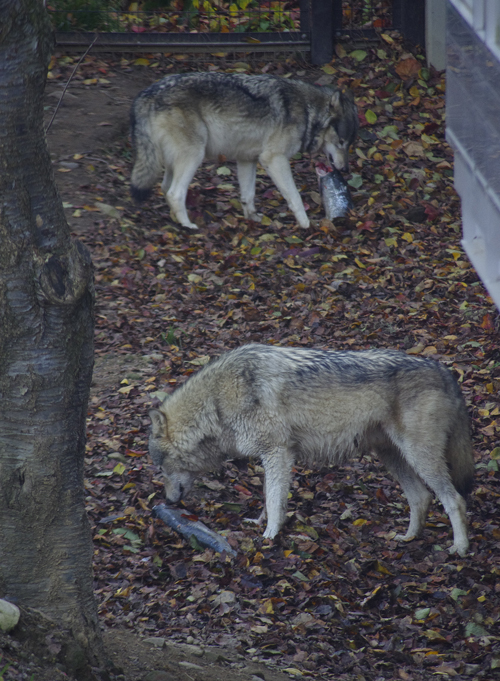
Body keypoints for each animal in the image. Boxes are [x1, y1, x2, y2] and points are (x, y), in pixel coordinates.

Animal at [129, 73, 356, 230]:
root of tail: (146, 95)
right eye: (341, 142)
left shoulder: (247, 159)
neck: (308, 112)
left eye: (349, 144)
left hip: (172, 161)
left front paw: (253, 218)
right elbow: (295, 197)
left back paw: (175, 219)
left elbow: (248, 195)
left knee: (165, 188)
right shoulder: (273, 159)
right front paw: (306, 224)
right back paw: (188, 226)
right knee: (175, 193)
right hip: (193, 156)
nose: (345, 170)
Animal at [147, 342, 472, 556]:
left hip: (419, 456)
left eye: (161, 468)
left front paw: (270, 535)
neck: (217, 401)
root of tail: (446, 372)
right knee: (421, 497)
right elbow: (269, 496)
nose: (168, 501)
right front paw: (260, 523)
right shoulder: (274, 456)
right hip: (393, 456)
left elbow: (273, 498)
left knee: (454, 499)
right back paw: (407, 538)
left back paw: (459, 548)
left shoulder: (277, 452)